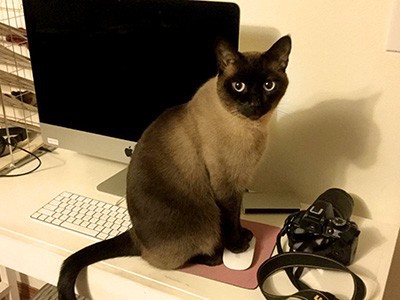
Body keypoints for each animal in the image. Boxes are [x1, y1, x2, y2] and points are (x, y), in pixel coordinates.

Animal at [57, 35, 290, 300]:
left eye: (268, 85)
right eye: (238, 86)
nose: (254, 103)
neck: (251, 130)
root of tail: (136, 236)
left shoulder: (238, 184)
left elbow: (237, 218)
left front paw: (245, 236)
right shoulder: (225, 186)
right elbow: (230, 221)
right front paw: (238, 246)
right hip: (205, 223)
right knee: (190, 254)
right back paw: (214, 256)